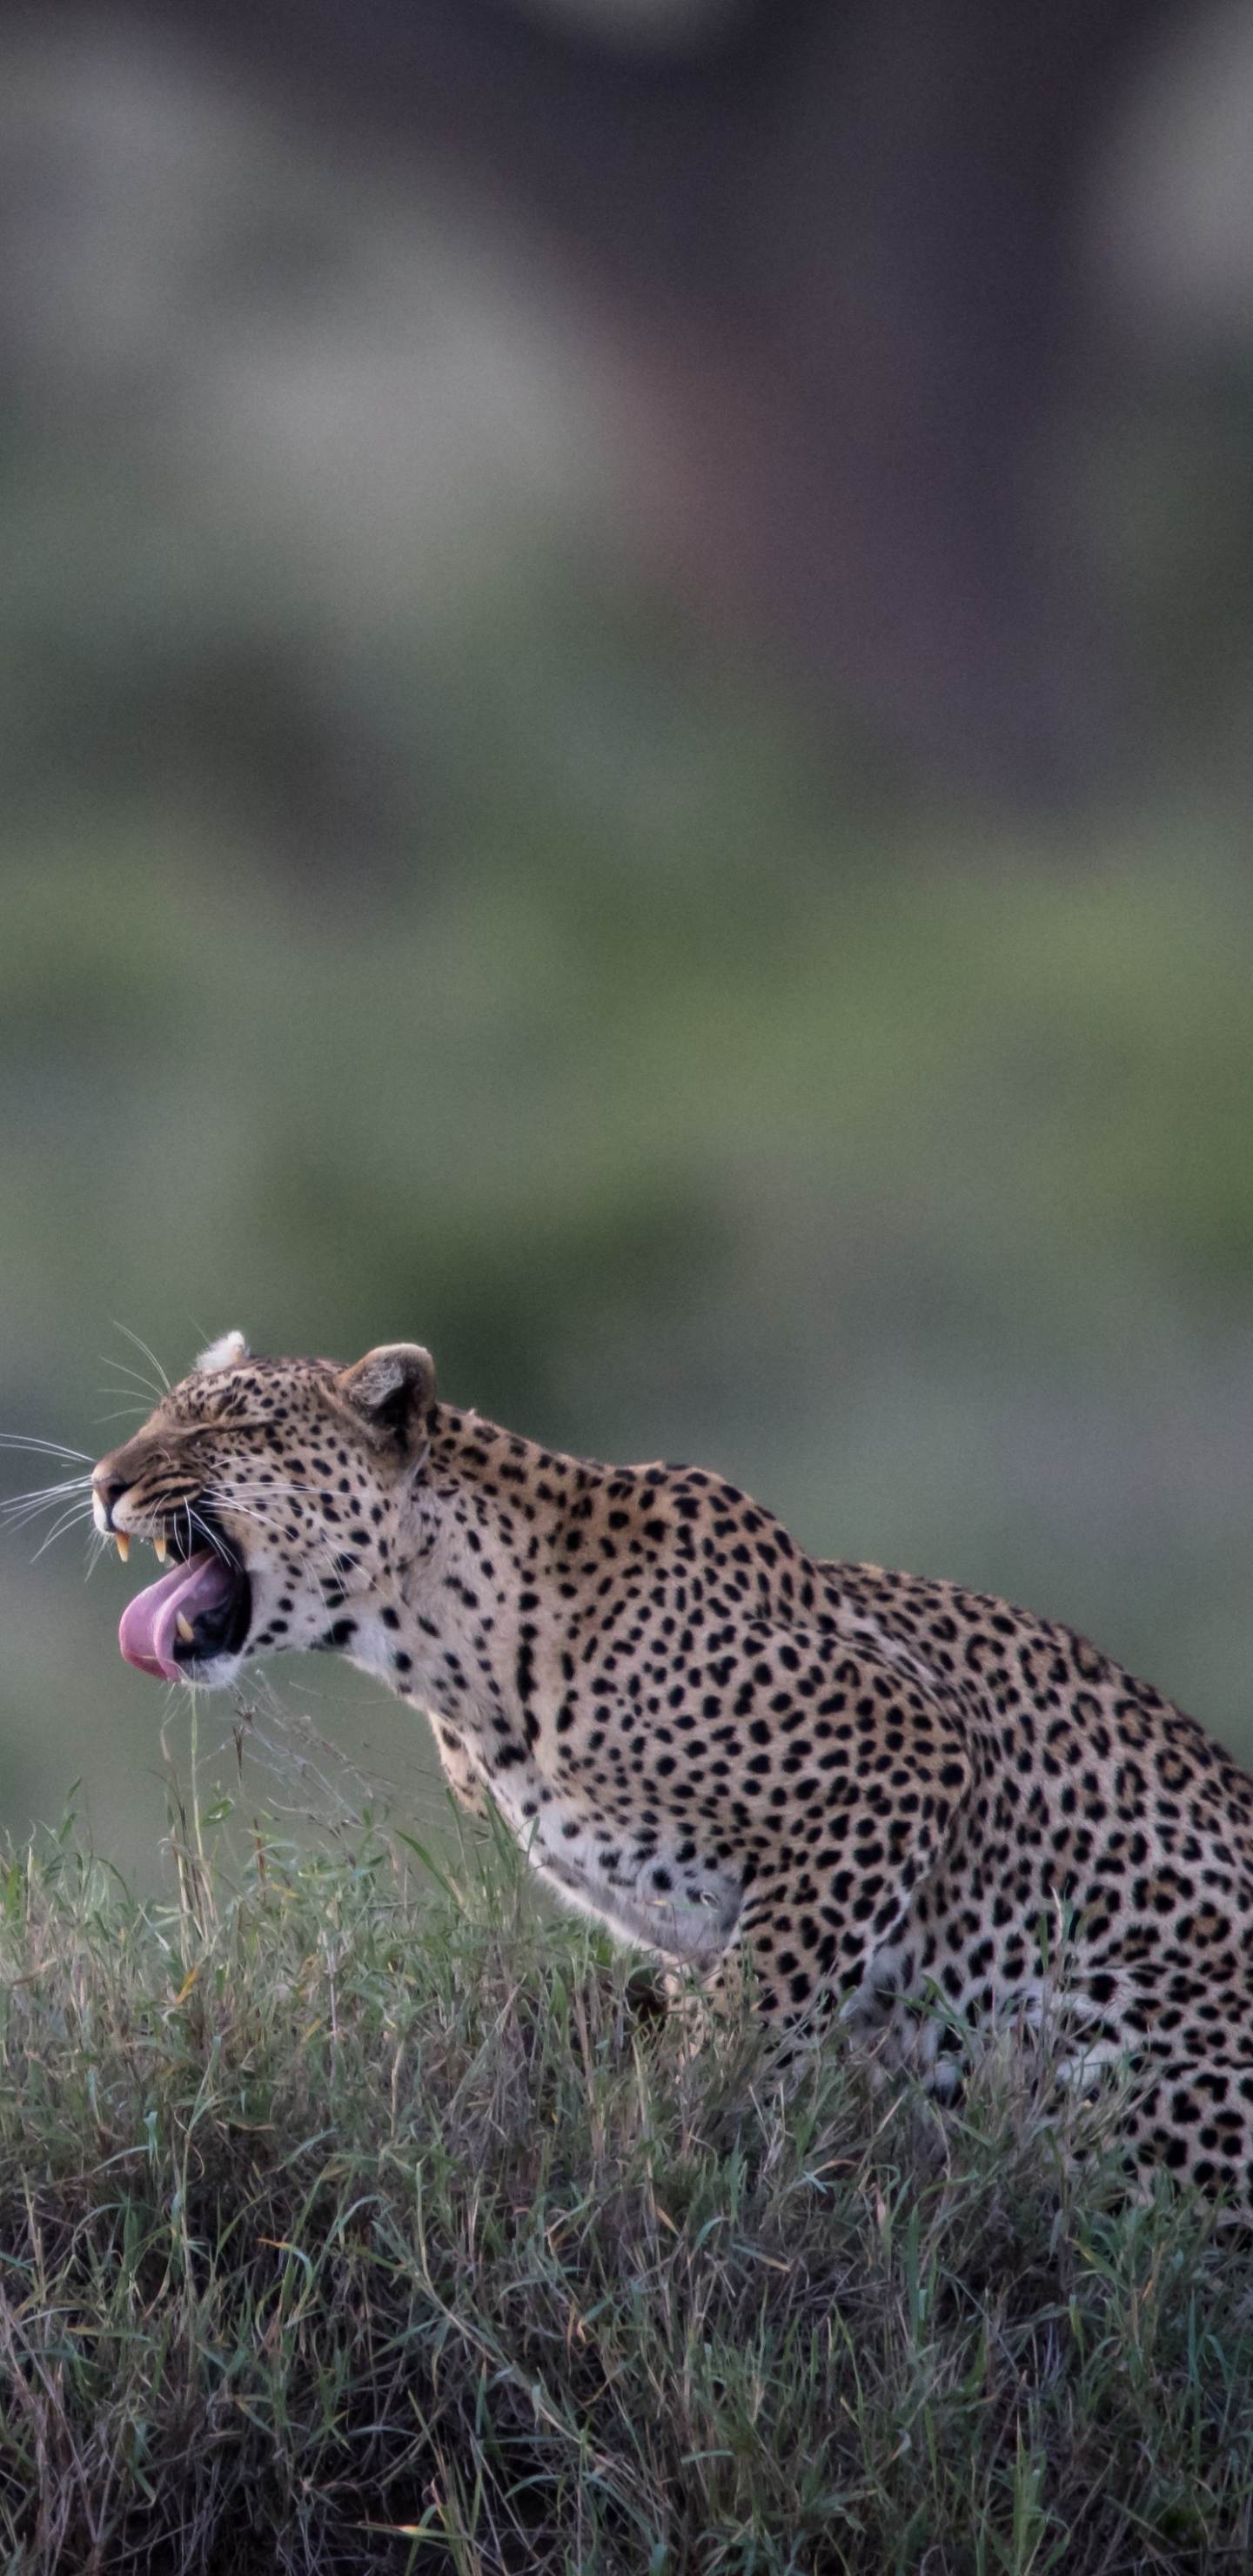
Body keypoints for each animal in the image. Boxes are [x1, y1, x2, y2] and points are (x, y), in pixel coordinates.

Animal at [95, 1339, 1253, 2204]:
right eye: (157, 1417)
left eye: (223, 1428)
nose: (105, 1482)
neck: (451, 1653)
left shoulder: (899, 1752)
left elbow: (747, 2022)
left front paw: (671, 2151)